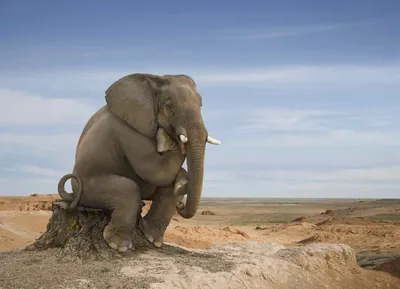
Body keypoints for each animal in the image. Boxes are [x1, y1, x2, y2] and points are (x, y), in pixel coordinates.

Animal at [56, 73, 220, 251]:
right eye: (169, 107)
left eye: (201, 104)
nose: (181, 207)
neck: (154, 80)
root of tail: (73, 195)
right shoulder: (129, 129)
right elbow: (154, 170)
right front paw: (169, 141)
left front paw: (182, 180)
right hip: (88, 189)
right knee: (129, 189)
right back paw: (118, 245)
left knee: (168, 190)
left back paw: (152, 237)